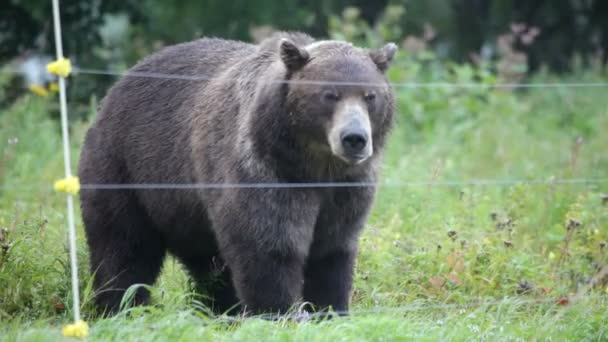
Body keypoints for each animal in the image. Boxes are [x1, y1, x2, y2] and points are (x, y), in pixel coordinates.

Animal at [78, 31, 396, 316]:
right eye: (329, 94)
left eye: (370, 96)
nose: (354, 138)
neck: (314, 165)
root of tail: (120, 83)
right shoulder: (266, 172)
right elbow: (268, 243)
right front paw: (276, 311)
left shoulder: (346, 189)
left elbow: (332, 250)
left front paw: (329, 308)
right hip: (127, 167)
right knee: (123, 246)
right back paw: (120, 306)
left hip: (187, 208)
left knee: (208, 262)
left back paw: (220, 307)